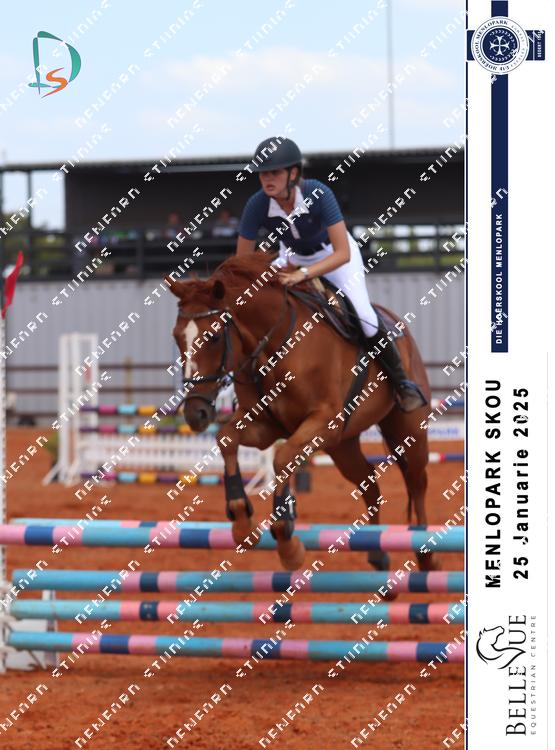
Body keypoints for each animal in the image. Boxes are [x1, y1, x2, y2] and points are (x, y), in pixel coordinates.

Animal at [168, 252, 436, 572]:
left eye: (214, 337)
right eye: (177, 337)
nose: (195, 414)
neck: (274, 346)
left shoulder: (323, 422)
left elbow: (283, 457)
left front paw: (288, 542)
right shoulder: (265, 426)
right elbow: (227, 439)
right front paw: (242, 522)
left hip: (407, 430)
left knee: (417, 483)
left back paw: (425, 554)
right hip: (342, 445)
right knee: (369, 483)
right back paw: (377, 554)